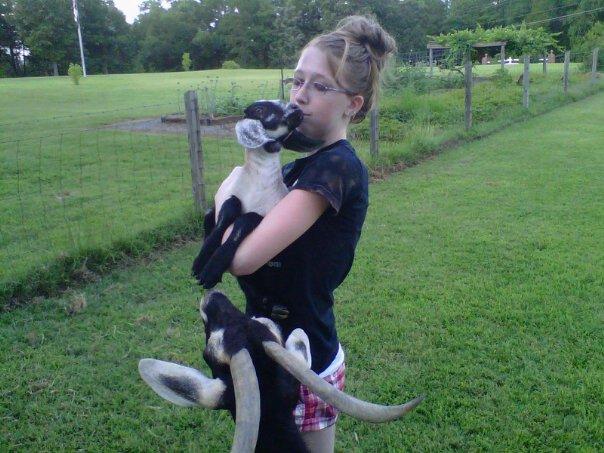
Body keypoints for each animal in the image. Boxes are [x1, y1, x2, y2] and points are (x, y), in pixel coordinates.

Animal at [192, 100, 320, 288]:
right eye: (259, 109)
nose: (296, 107)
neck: (258, 182)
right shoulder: (230, 196)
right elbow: (228, 211)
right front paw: (201, 261)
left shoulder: (266, 213)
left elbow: (245, 221)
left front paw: (212, 269)